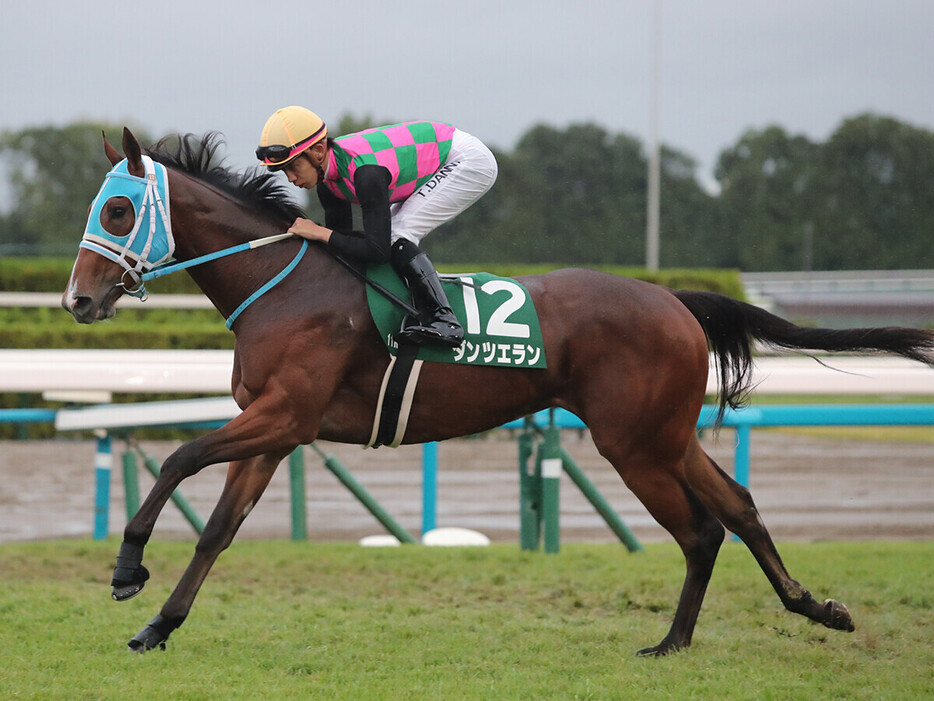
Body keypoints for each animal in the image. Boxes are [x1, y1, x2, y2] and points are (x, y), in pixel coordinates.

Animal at [64, 127, 934, 656]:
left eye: (119, 208)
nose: (76, 299)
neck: (282, 281)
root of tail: (675, 299)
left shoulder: (284, 415)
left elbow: (178, 458)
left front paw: (127, 568)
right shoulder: (275, 428)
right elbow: (218, 528)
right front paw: (158, 626)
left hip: (634, 443)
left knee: (699, 531)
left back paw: (671, 642)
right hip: (666, 436)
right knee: (740, 508)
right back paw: (808, 609)